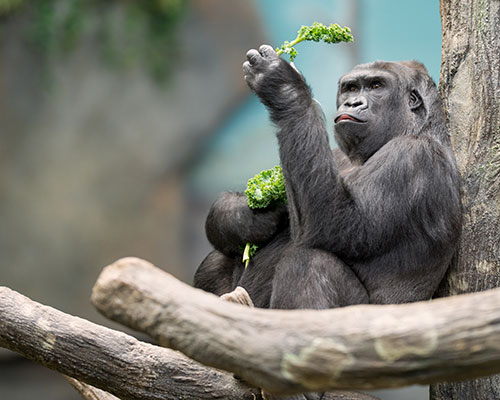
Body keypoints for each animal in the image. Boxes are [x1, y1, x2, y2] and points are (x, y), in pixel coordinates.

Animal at [191, 45, 460, 310]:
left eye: (376, 86)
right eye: (351, 88)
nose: (352, 103)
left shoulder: (413, 155)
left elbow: (340, 224)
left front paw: (283, 88)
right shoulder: (335, 153)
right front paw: (249, 218)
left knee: (310, 262)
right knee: (218, 260)